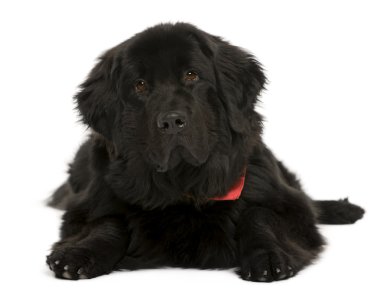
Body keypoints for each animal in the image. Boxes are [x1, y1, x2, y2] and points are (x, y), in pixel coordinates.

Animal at [46, 23, 364, 282]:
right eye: (140, 85)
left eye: (191, 75)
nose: (172, 122)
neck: (183, 185)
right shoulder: (89, 204)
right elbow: (108, 222)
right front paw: (78, 254)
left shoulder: (288, 206)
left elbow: (261, 214)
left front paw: (268, 256)